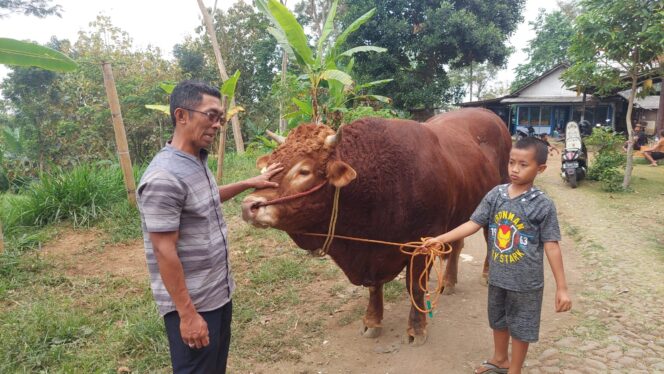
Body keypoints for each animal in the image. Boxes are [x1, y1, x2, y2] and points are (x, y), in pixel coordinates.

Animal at [241, 108, 510, 344]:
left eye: (304, 171)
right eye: (269, 166)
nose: (248, 205)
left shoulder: (422, 243)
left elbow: (415, 286)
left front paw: (417, 328)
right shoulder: (372, 253)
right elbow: (373, 287)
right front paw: (372, 321)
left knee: (488, 241)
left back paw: (486, 274)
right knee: (457, 246)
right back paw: (449, 282)